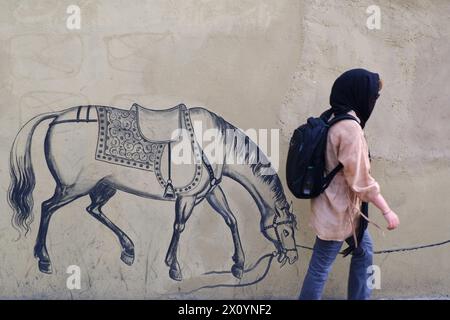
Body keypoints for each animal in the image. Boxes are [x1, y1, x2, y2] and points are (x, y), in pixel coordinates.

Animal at [7, 102, 298, 280]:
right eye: (285, 231)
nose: (294, 257)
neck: (215, 145)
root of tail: (56, 118)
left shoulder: (209, 193)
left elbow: (231, 220)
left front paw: (238, 264)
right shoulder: (187, 197)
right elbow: (180, 226)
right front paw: (174, 267)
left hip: (103, 186)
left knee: (93, 209)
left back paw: (128, 248)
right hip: (74, 187)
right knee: (47, 207)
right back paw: (43, 259)